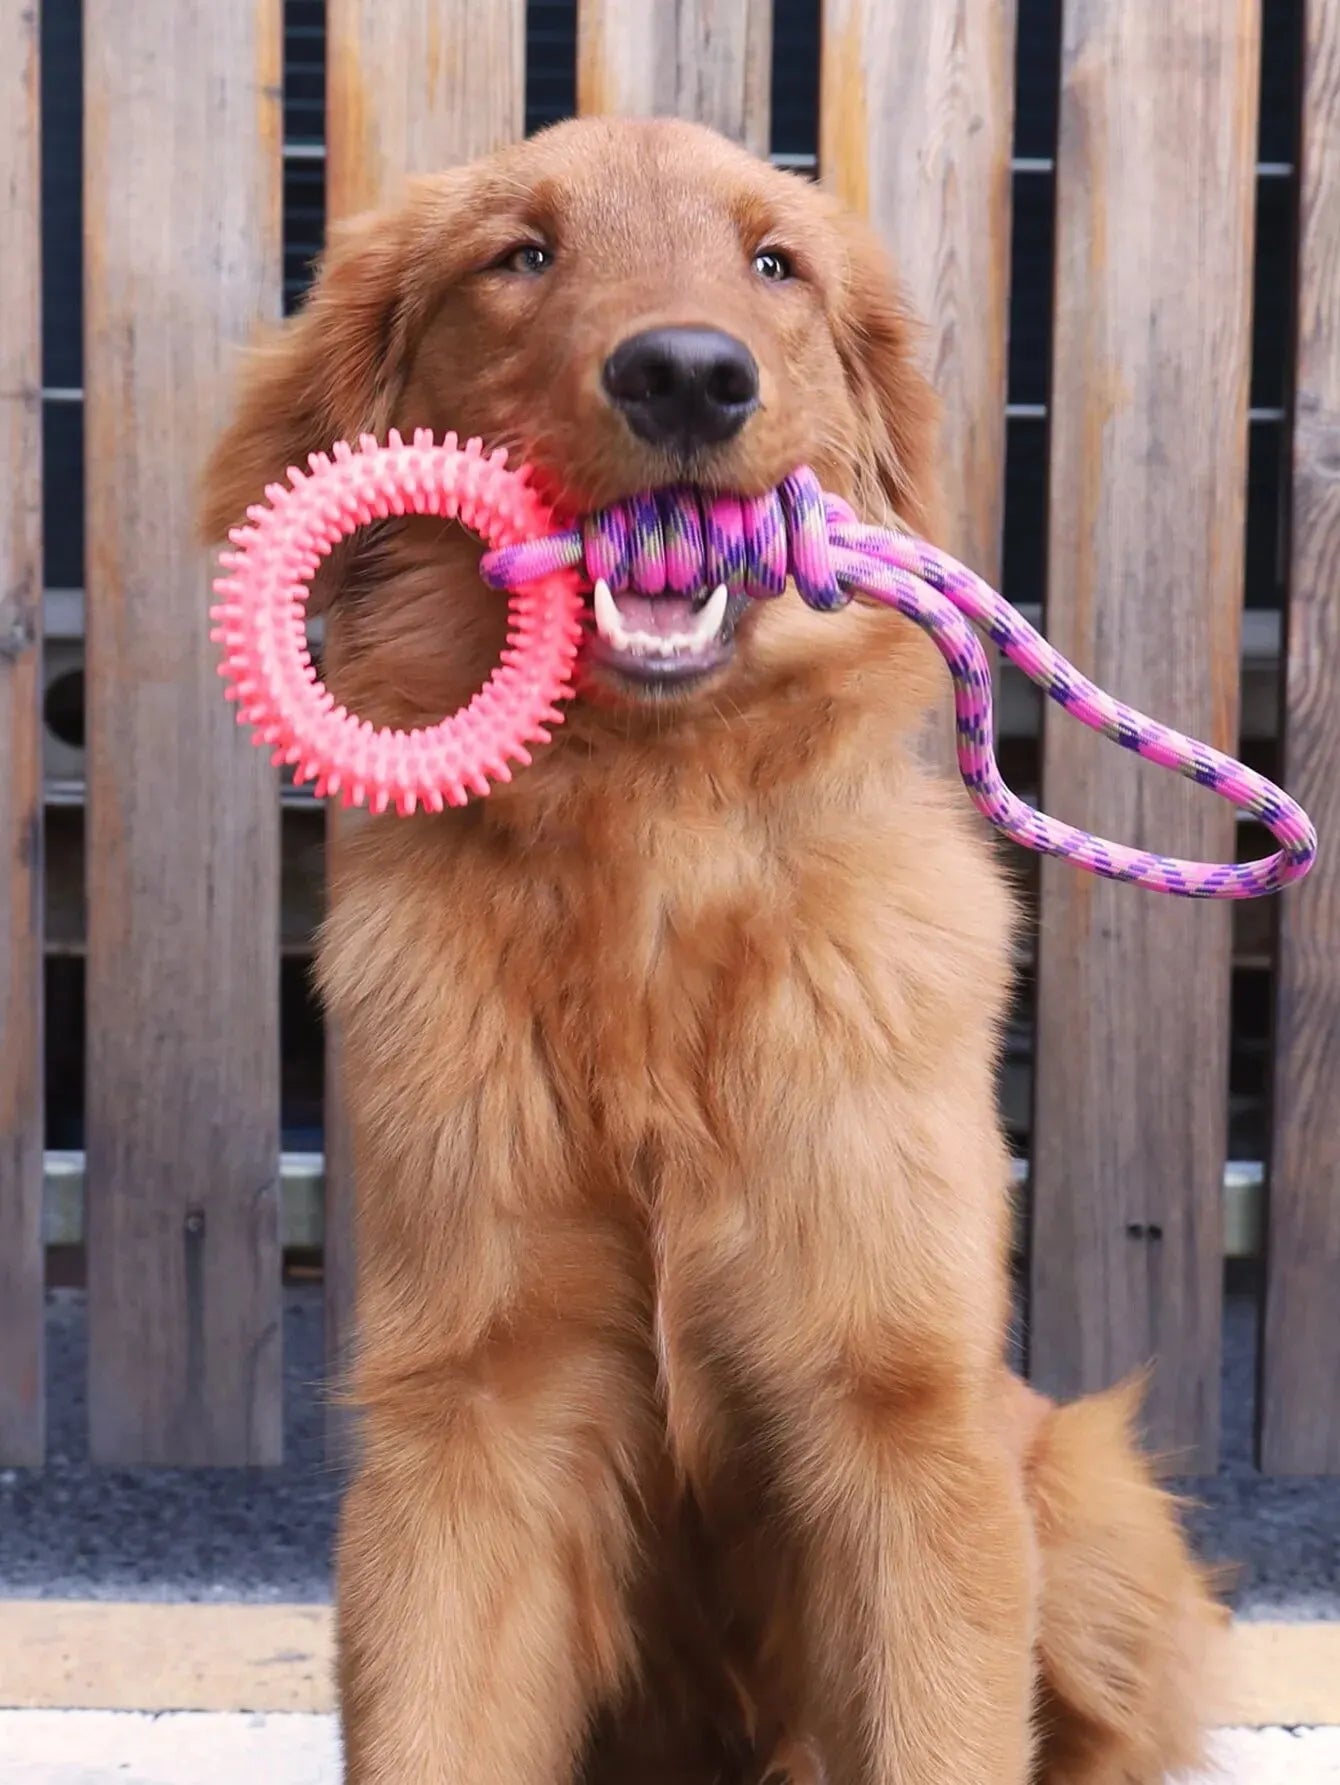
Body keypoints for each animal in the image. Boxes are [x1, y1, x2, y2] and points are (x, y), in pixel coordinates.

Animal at [206, 118, 1227, 1777]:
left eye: (773, 263)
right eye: (523, 254)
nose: (687, 376)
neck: (657, 852)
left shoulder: (906, 1423)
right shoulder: (471, 1412)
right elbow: (433, 1719)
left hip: (1088, 1490)